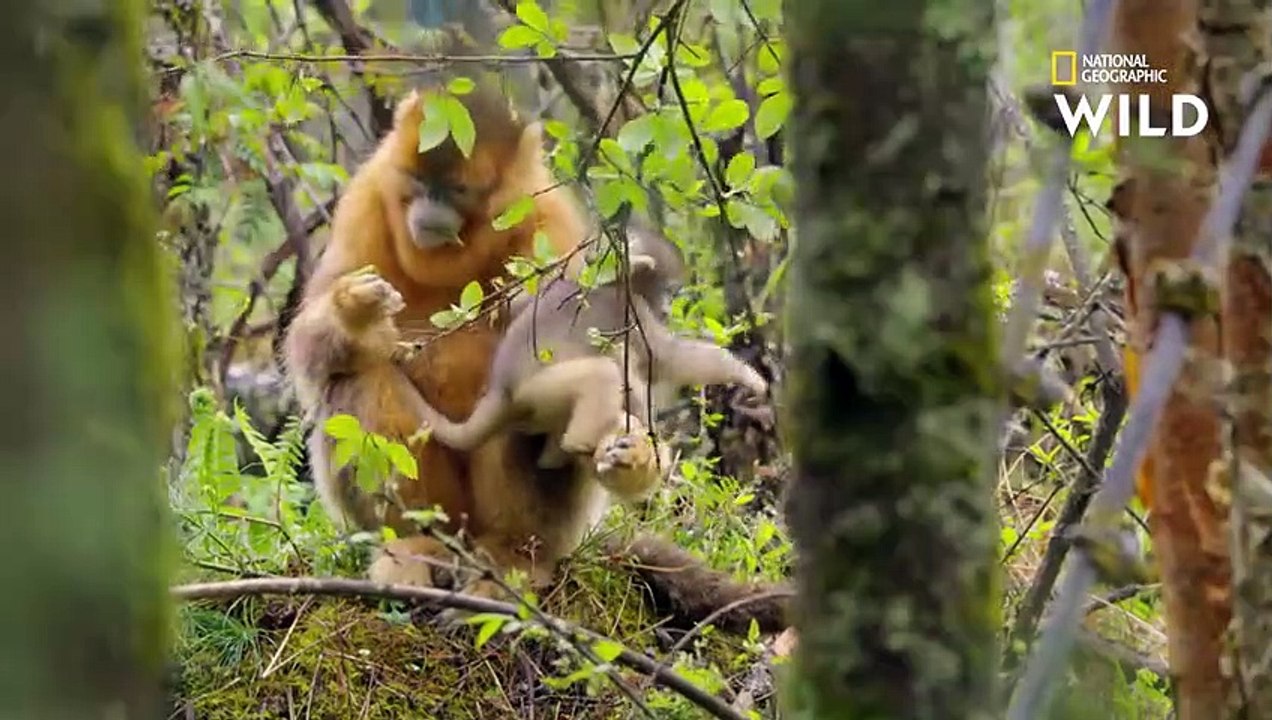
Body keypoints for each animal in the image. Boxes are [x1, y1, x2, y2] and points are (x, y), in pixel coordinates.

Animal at [284, 78, 788, 631]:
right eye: (417, 182)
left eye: (457, 191)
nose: (428, 215)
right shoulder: (368, 199)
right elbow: (307, 353)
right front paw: (355, 312)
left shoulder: (546, 219)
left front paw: (635, 457)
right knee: (357, 373)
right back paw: (414, 546)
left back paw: (512, 558)